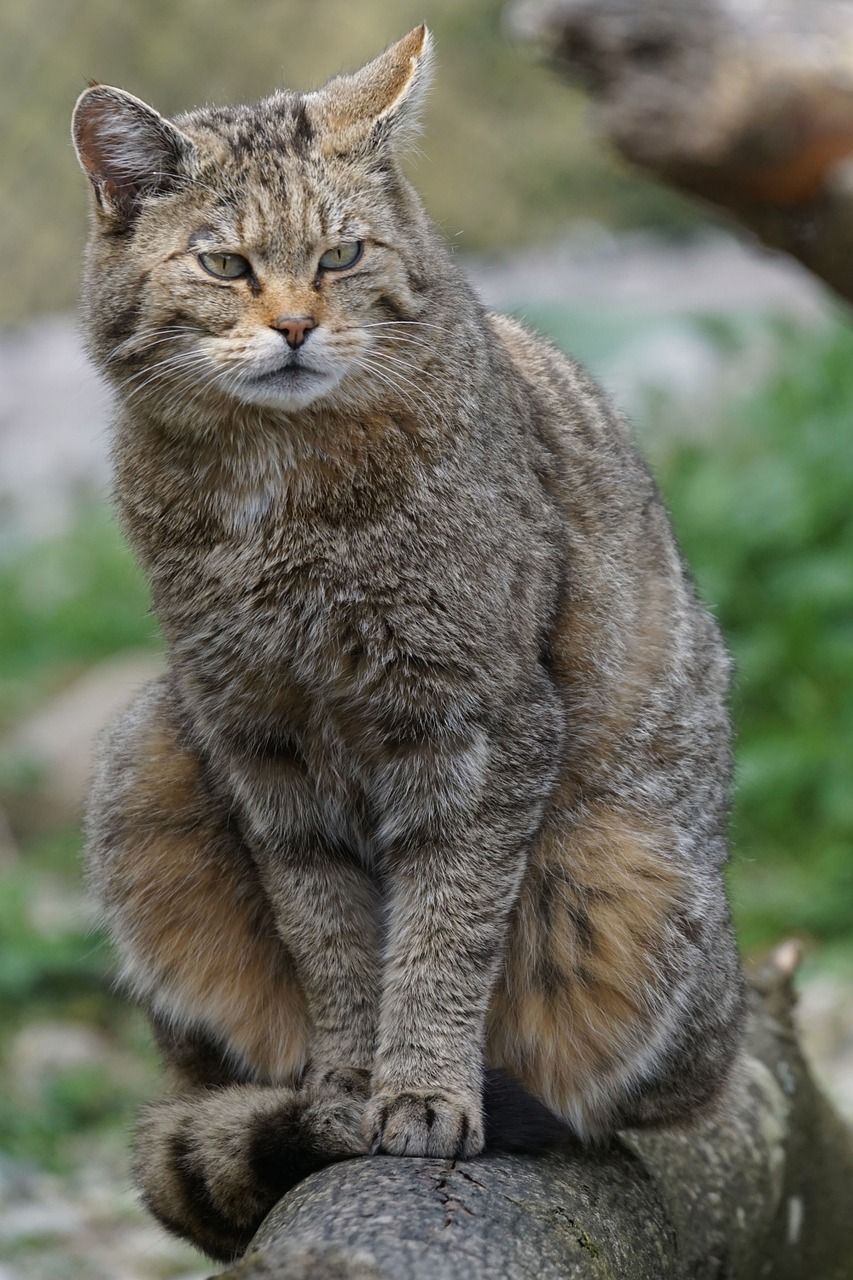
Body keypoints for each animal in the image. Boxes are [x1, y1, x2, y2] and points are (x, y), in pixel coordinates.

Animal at [73, 27, 742, 1259]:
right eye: (226, 265)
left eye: (341, 254)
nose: (295, 325)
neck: (275, 489)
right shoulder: (262, 746)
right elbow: (331, 940)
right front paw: (348, 1084)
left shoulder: (481, 727)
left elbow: (441, 930)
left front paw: (423, 1091)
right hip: (148, 749)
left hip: (632, 875)